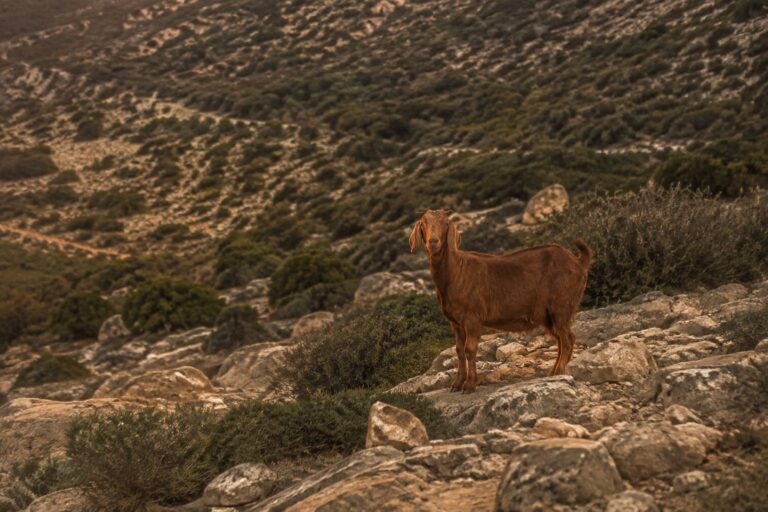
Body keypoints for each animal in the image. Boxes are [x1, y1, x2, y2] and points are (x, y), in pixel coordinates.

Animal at [409, 209, 591, 393]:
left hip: (561, 306)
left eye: (446, 223)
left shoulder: (472, 317)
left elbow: (470, 349)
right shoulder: (456, 322)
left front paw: (469, 385)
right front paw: (457, 384)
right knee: (561, 340)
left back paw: (558, 372)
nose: (433, 242)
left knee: (568, 339)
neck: (456, 272)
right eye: (423, 223)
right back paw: (552, 372)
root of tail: (578, 262)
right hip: (548, 315)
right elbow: (459, 350)